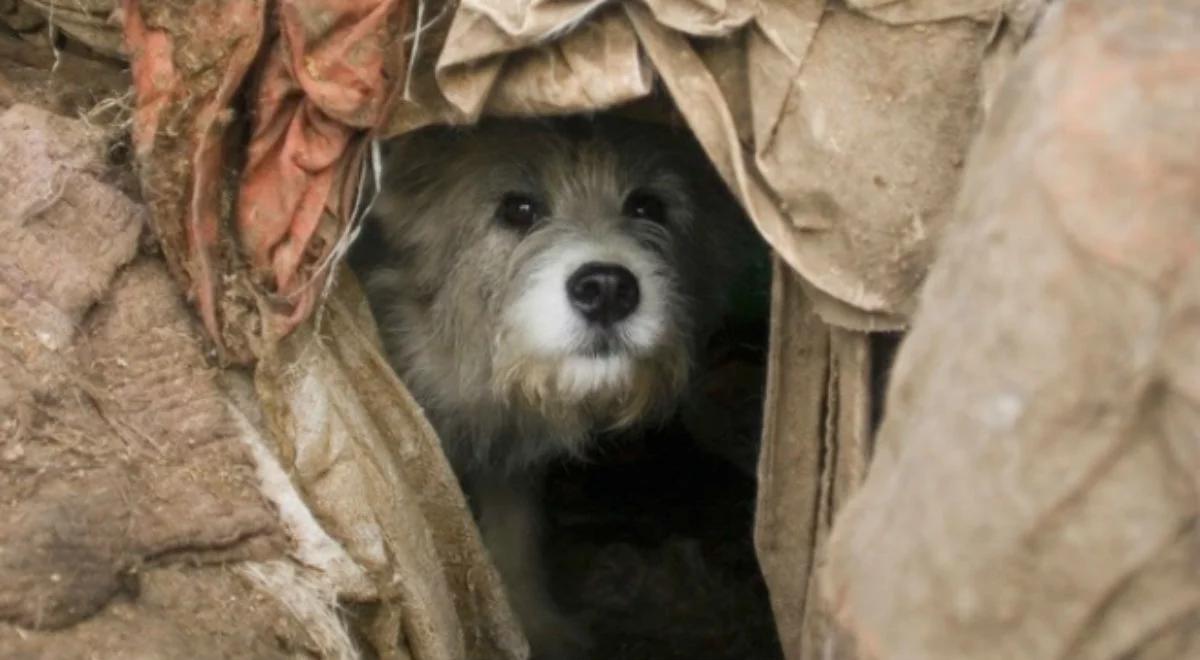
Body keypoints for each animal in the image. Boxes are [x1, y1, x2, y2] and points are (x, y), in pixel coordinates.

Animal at [350, 116, 748, 657]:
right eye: (518, 209)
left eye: (649, 205)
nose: (607, 289)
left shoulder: (509, 462)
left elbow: (515, 537)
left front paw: (534, 626)